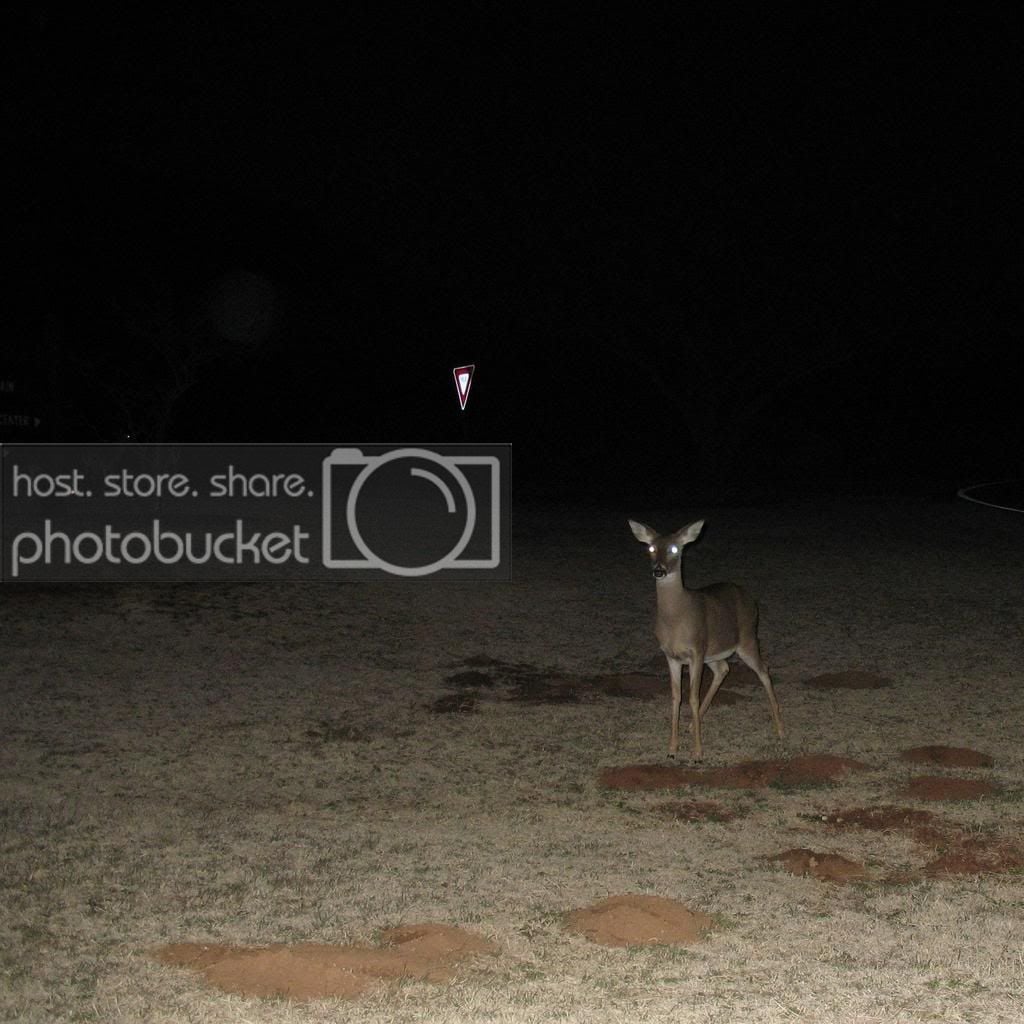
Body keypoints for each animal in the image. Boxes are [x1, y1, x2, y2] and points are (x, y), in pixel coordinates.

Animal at [628, 519, 783, 761]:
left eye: (675, 549)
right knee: (724, 669)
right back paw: (693, 724)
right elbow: (676, 697)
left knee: (764, 670)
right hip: (715, 652)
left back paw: (780, 730)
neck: (676, 619)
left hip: (747, 638)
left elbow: (693, 697)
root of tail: (750, 597)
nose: (659, 571)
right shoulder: (671, 656)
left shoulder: (696, 650)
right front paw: (672, 749)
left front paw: (698, 752)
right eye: (651, 548)